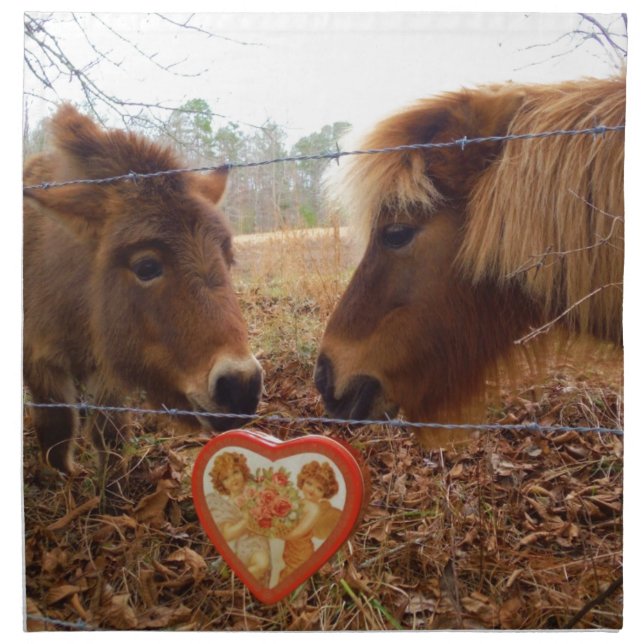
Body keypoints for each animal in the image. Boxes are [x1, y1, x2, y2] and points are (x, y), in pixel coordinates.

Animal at [23, 104, 263, 489]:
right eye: (147, 266)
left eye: (229, 258)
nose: (240, 386)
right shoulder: (39, 361)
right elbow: (57, 429)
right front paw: (64, 478)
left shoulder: (107, 365)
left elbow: (109, 431)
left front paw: (112, 480)